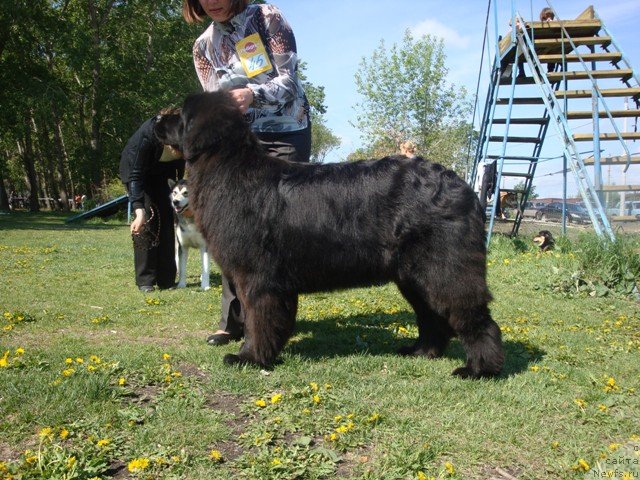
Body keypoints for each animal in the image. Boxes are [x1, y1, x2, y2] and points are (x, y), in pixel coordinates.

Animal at [155, 91, 504, 378]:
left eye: (180, 114)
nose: (157, 119)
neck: (228, 167)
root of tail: (461, 185)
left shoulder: (257, 277)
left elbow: (257, 320)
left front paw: (249, 358)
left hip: (445, 269)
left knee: (475, 316)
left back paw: (480, 369)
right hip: (414, 276)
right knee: (432, 317)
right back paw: (421, 352)